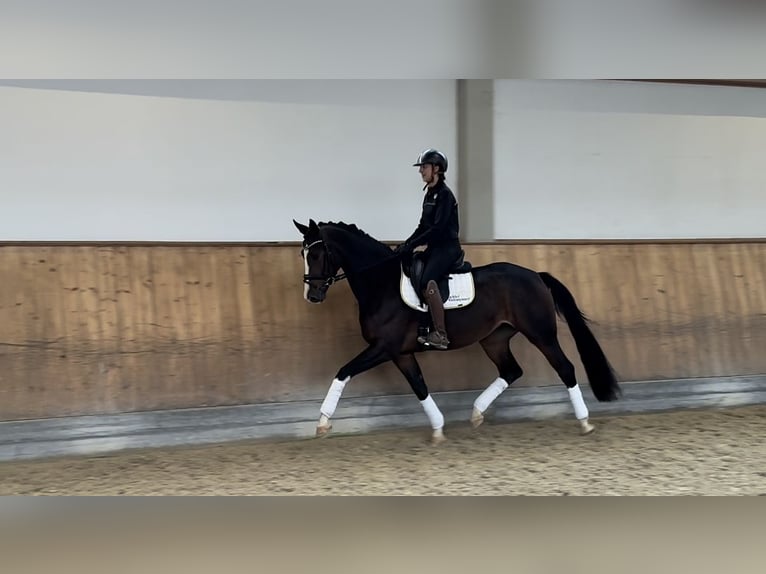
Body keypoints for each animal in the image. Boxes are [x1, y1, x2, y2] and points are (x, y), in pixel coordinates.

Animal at [293, 218, 620, 444]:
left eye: (318, 254)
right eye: (303, 255)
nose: (312, 295)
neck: (381, 284)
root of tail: (536, 276)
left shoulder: (383, 348)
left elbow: (343, 371)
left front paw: (322, 422)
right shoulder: (400, 353)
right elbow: (419, 386)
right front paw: (438, 428)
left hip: (541, 334)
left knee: (565, 368)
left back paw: (585, 422)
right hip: (494, 339)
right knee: (511, 371)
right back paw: (476, 413)